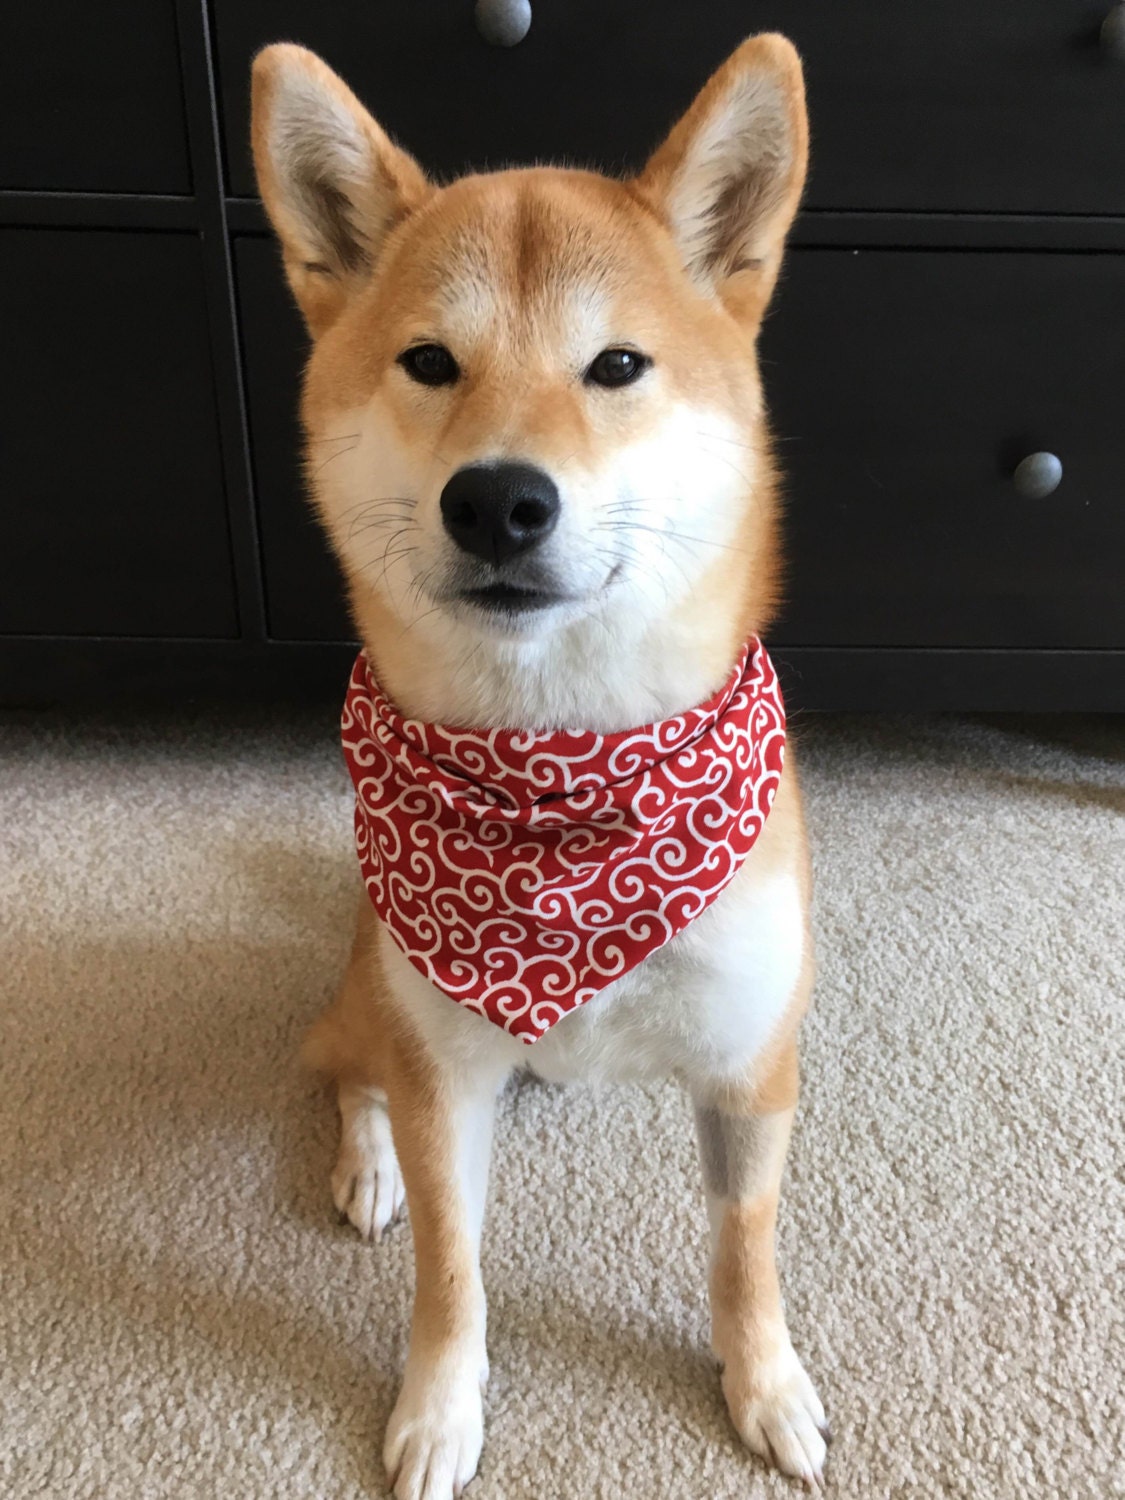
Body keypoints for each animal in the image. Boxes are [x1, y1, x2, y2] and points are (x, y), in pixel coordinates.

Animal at [250, 35, 822, 1500]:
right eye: (428, 362)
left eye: (616, 364)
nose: (498, 499)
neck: (560, 776)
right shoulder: (444, 1072)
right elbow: (451, 1272)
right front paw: (437, 1410)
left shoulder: (749, 1063)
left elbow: (746, 1250)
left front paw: (764, 1383)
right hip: (373, 999)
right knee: (346, 1074)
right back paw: (369, 1167)